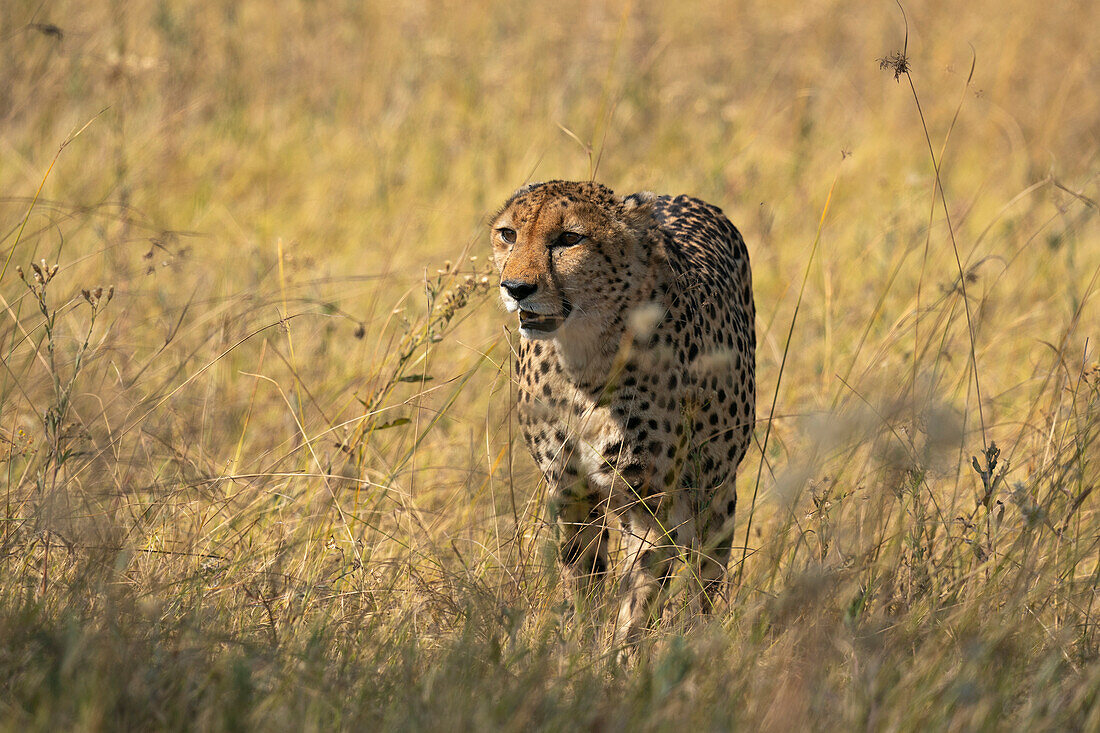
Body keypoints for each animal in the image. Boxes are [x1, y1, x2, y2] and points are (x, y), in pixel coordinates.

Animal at [492, 179, 756, 642]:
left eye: (569, 238)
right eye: (509, 234)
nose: (516, 287)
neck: (583, 361)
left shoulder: (651, 501)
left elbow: (640, 593)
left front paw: (622, 655)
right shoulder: (570, 492)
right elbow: (581, 580)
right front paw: (577, 644)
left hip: (715, 490)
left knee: (706, 576)